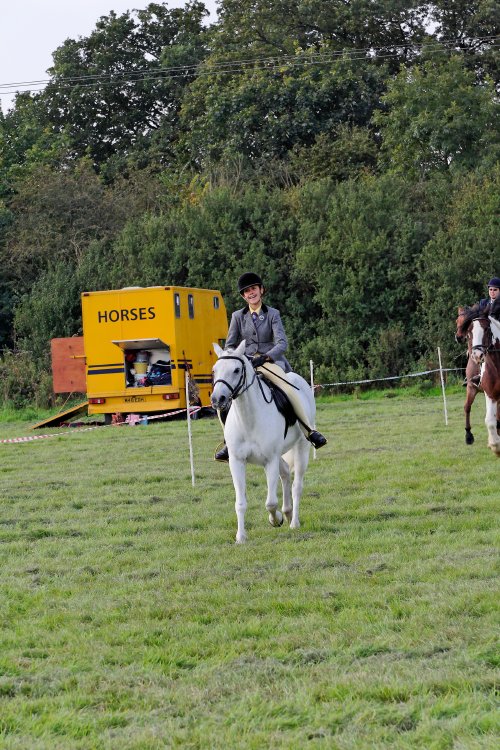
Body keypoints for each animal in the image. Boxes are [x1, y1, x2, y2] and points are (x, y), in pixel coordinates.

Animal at [211, 340, 315, 543]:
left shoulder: (270, 460)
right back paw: (288, 512)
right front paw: (241, 537)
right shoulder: (236, 461)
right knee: (285, 472)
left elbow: (271, 502)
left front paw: (276, 520)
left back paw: (293, 522)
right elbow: (240, 503)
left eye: (236, 370)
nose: (217, 399)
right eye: (214, 370)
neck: (249, 418)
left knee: (297, 485)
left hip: (302, 446)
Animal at [458, 303, 500, 456]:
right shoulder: (490, 394)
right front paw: (495, 445)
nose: (477, 355)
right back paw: (469, 436)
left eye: (487, 329)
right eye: (469, 332)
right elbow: (490, 420)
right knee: (467, 407)